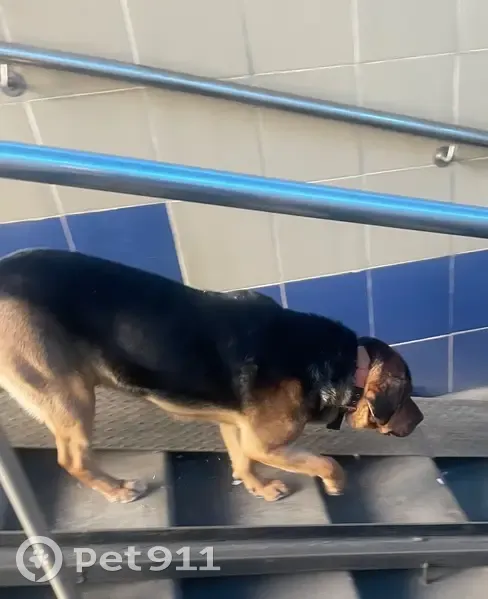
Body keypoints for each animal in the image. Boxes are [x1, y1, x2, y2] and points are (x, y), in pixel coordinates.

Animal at [0, 248, 423, 503]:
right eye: (406, 396)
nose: (420, 420)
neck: (347, 365)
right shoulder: (266, 444)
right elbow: (326, 462)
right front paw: (336, 483)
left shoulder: (237, 428)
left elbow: (242, 462)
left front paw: (259, 488)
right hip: (69, 396)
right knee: (72, 460)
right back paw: (118, 490)